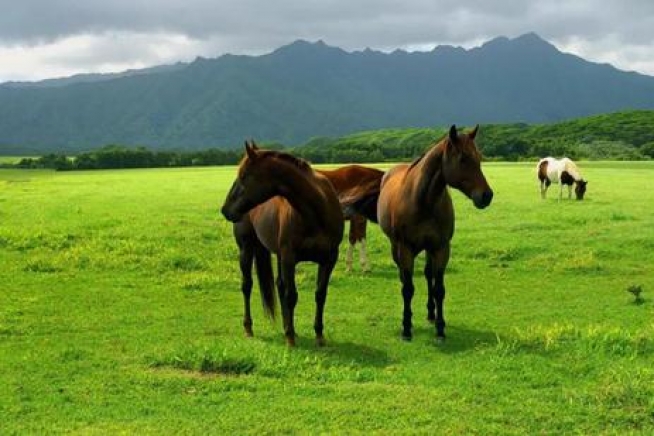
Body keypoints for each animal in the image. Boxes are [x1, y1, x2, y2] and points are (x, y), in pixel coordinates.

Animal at [222, 142, 346, 348]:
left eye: (244, 176)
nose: (225, 210)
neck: (316, 211)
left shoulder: (329, 259)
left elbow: (320, 294)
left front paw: (319, 335)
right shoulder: (289, 257)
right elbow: (291, 295)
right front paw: (290, 337)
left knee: (279, 285)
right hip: (246, 249)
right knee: (247, 285)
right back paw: (249, 328)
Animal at [376, 124, 494, 342]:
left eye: (479, 158)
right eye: (463, 159)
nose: (486, 195)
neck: (422, 200)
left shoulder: (440, 247)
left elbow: (438, 289)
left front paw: (440, 328)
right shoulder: (405, 249)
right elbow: (408, 289)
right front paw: (406, 328)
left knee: (427, 274)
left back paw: (431, 313)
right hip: (396, 247)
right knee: (404, 278)